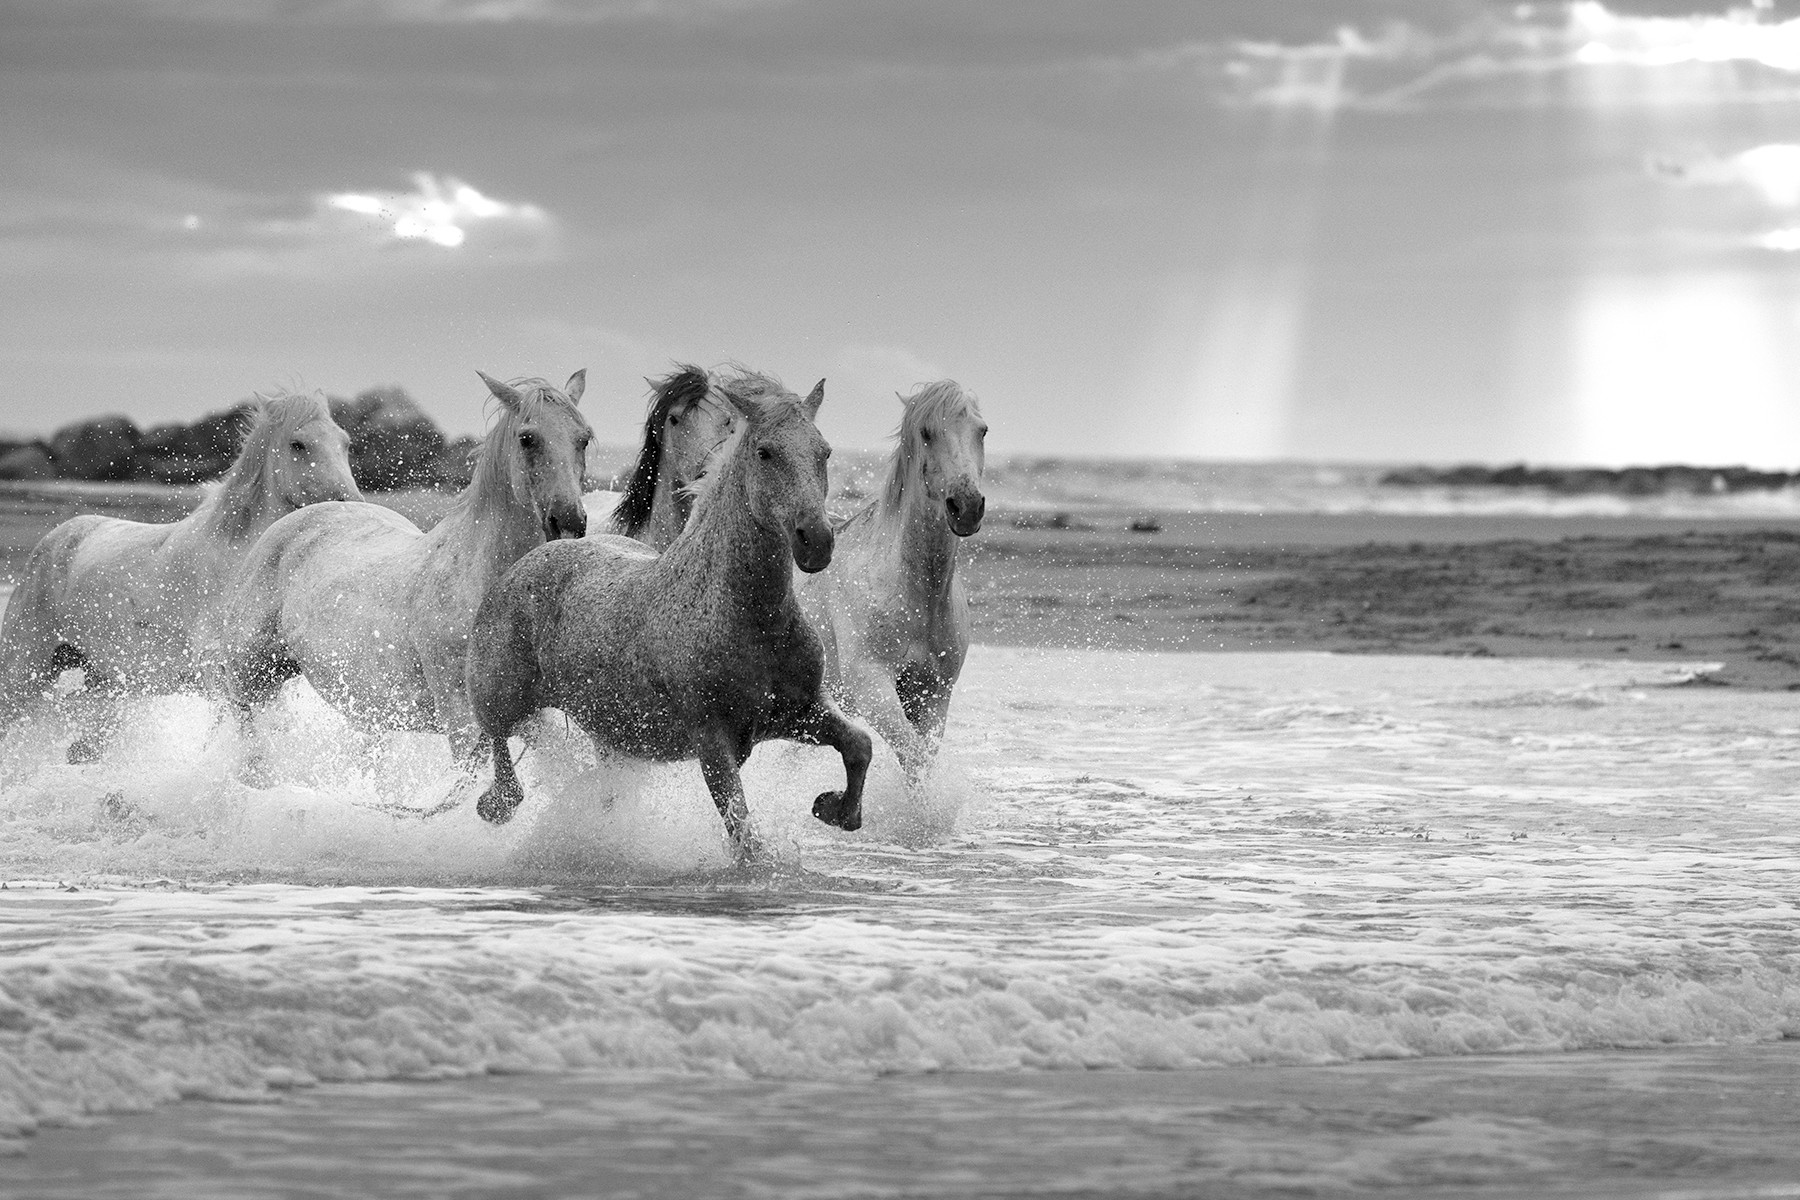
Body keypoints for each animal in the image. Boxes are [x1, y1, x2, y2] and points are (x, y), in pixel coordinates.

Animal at [0, 391, 362, 762]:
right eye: (298, 444)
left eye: (345, 443)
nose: (351, 503)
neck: (239, 561)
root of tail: (54, 539)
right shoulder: (216, 668)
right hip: (22, 674)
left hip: (102, 681)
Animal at [210, 371, 591, 771]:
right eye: (527, 438)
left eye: (583, 439)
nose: (568, 522)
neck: (481, 582)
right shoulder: (462, 721)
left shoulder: (533, 720)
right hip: (249, 677)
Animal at [795, 380, 986, 782]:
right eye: (926, 432)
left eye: (982, 430)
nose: (966, 506)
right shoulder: (874, 688)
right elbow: (912, 757)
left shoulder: (932, 697)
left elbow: (922, 764)